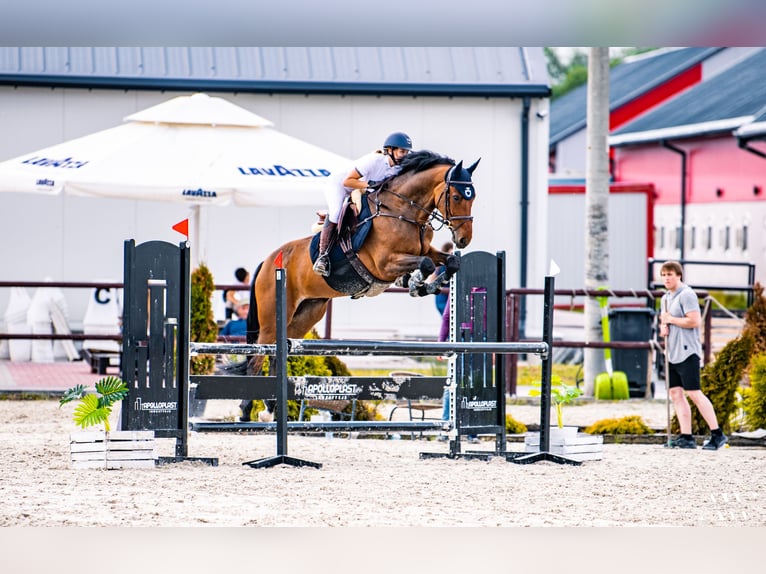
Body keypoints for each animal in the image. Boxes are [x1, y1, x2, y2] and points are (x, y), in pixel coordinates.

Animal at [240, 151, 480, 420]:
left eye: (473, 196)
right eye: (457, 196)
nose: (464, 239)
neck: (403, 212)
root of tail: (268, 261)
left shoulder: (424, 250)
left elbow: (449, 262)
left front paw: (421, 285)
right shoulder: (384, 264)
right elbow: (426, 263)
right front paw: (415, 283)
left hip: (305, 314)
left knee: (276, 354)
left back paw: (269, 409)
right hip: (272, 317)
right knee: (256, 359)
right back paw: (247, 412)